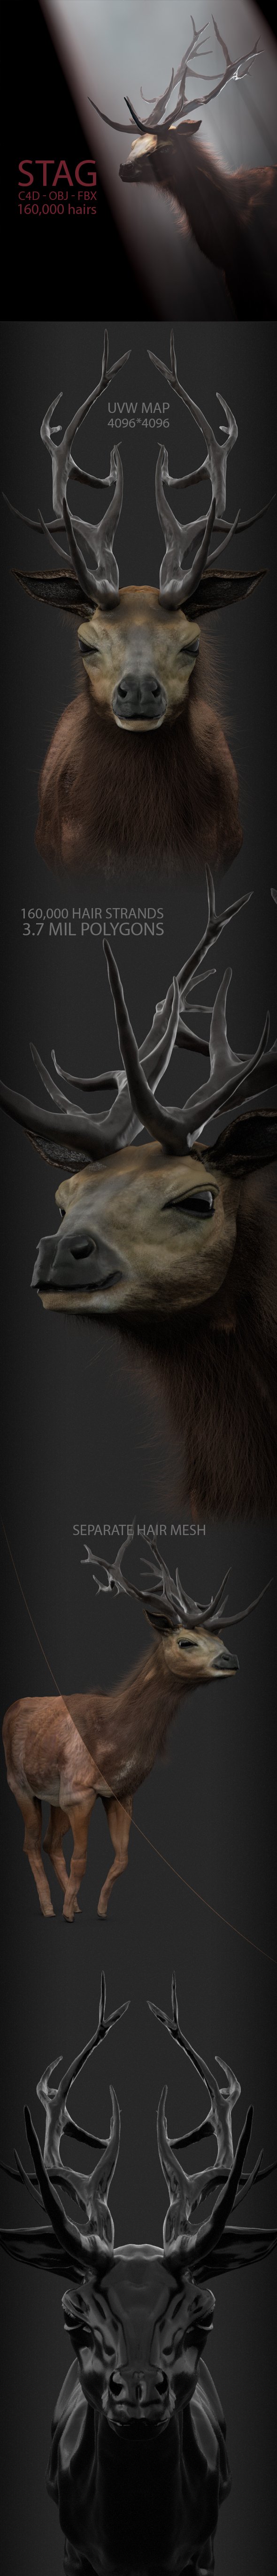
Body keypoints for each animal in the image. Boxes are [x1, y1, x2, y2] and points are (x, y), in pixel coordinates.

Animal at [1, 1972, 276, 2574]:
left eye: (204, 2315)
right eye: (72, 2315)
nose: (139, 2391)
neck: (137, 2540)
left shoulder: (205, 2549)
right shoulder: (72, 2551)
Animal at [3, 1529, 266, 1922]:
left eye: (220, 1639)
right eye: (186, 1641)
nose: (230, 1658)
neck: (113, 1738)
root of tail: (12, 1707)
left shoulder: (120, 1793)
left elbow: (123, 1858)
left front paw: (98, 1909)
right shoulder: (79, 1791)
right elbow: (82, 1858)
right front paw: (69, 1914)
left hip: (53, 1796)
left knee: (49, 1842)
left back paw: (73, 1903)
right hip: (19, 1784)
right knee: (31, 1844)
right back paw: (51, 1908)